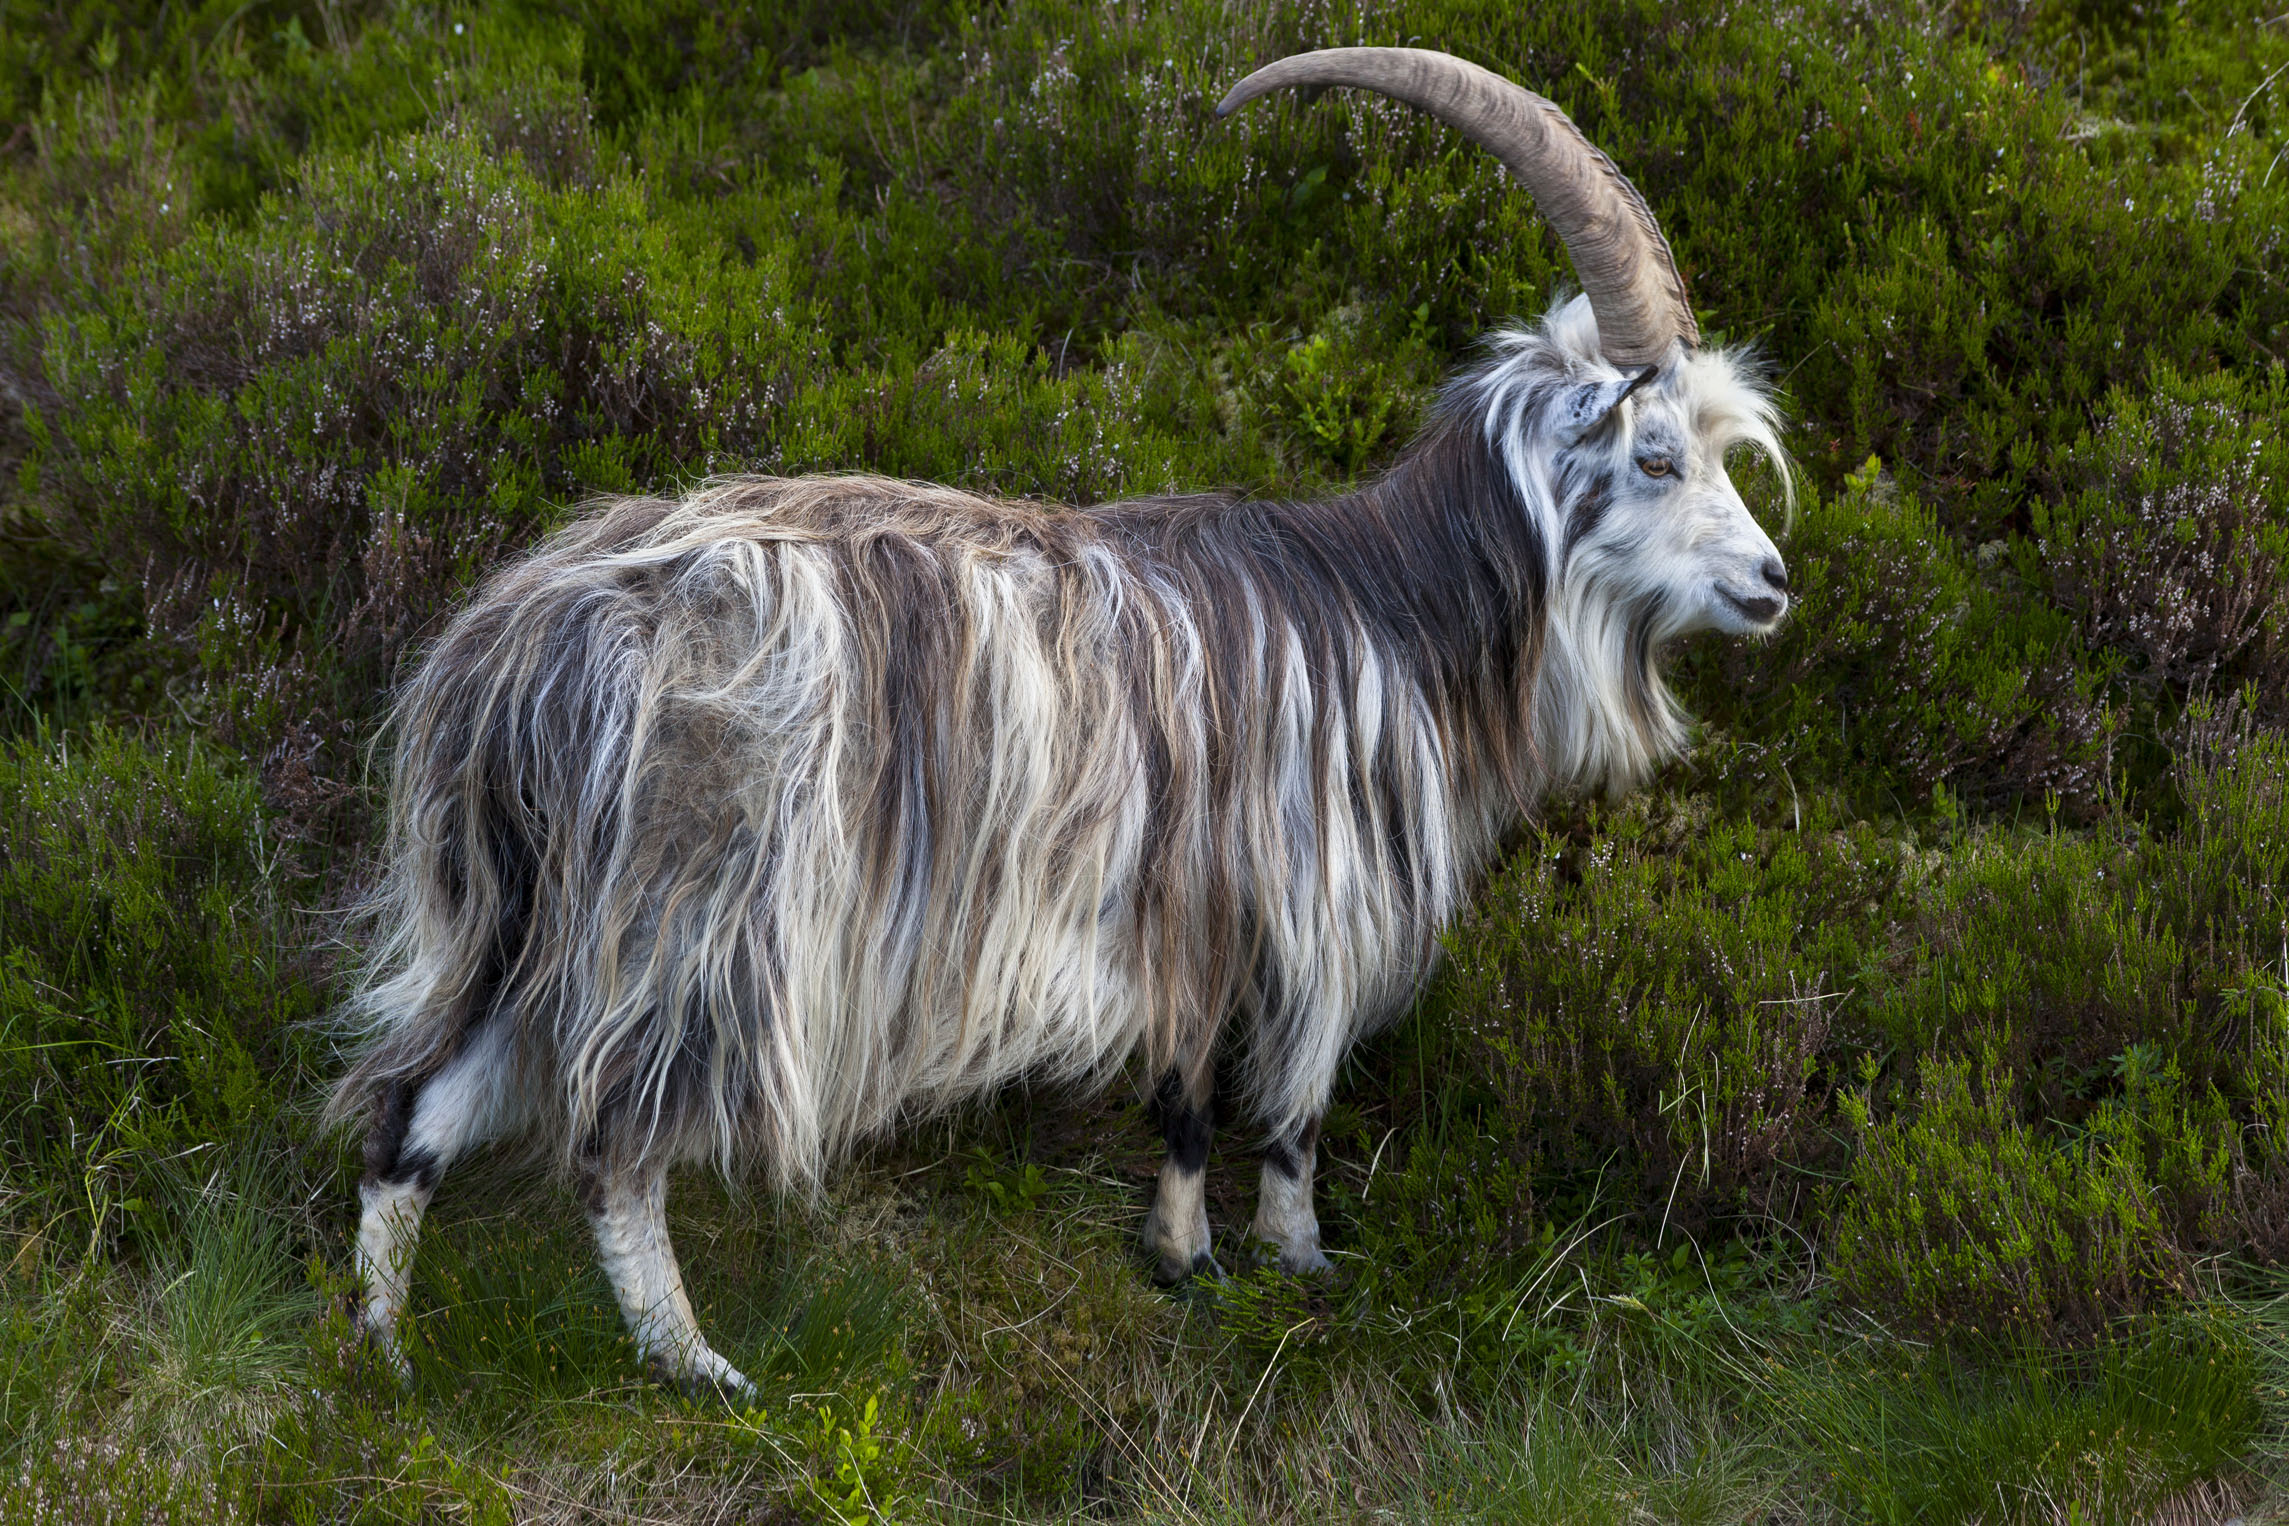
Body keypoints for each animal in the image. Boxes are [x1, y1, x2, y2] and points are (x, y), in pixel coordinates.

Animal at [334, 44, 1785, 1400]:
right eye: (1656, 454)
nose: (1771, 582)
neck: (1378, 612)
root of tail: (521, 645)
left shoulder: (1212, 909)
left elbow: (1225, 1097)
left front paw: (1232, 1258)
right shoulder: (1270, 895)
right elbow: (1257, 1104)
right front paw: (1253, 1261)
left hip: (524, 900)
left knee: (416, 1104)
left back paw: (388, 1358)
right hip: (692, 913)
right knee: (611, 1143)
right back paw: (701, 1365)